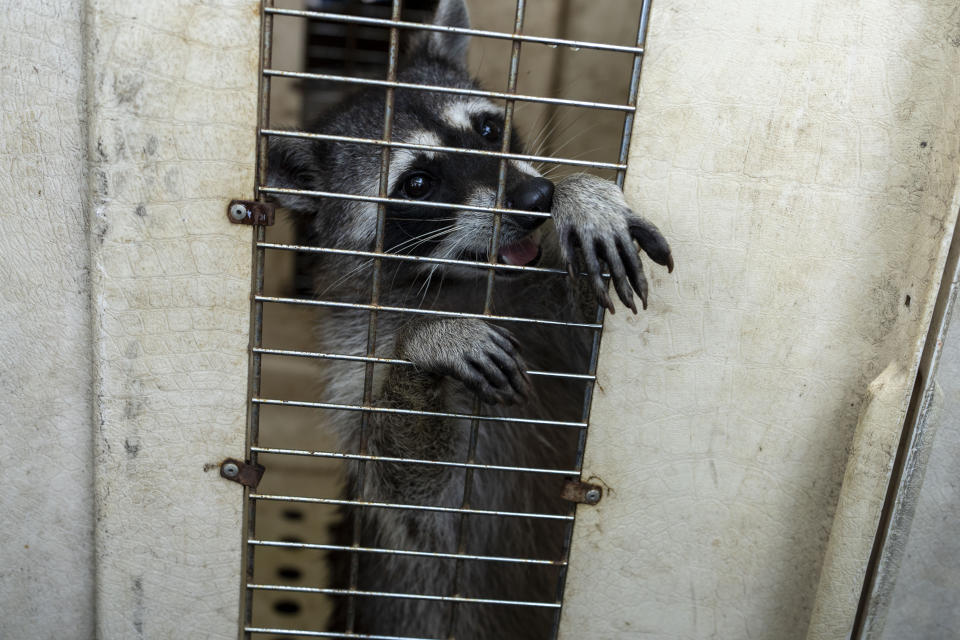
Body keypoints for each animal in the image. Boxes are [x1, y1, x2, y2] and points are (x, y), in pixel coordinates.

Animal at [266, 2, 672, 636]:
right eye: (419, 183)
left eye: (485, 130)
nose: (535, 200)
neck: (470, 284)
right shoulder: (355, 358)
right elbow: (410, 488)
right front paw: (427, 345)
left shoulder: (547, 321)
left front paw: (581, 197)